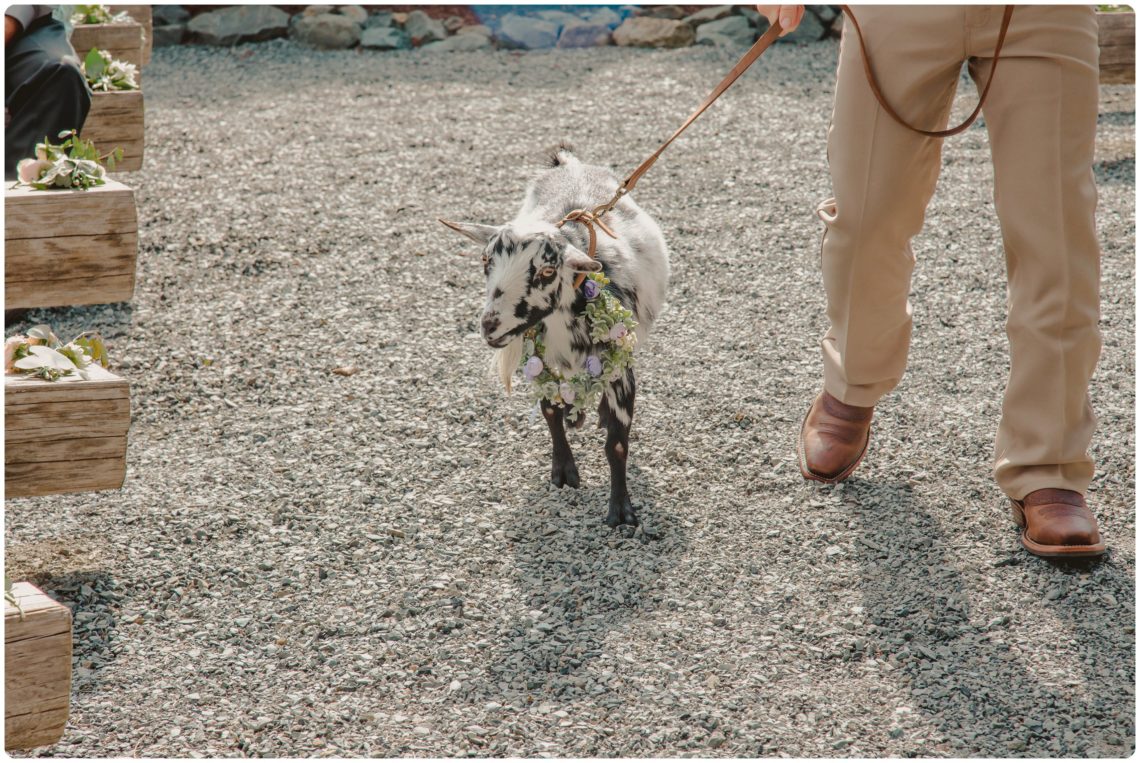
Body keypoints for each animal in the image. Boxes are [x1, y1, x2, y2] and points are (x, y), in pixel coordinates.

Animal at [437, 145, 665, 526]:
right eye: (485, 261)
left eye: (546, 271)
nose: (490, 326)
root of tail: (568, 163)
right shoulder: (539, 359)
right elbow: (549, 411)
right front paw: (563, 471)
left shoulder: (622, 369)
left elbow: (617, 444)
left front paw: (621, 511)